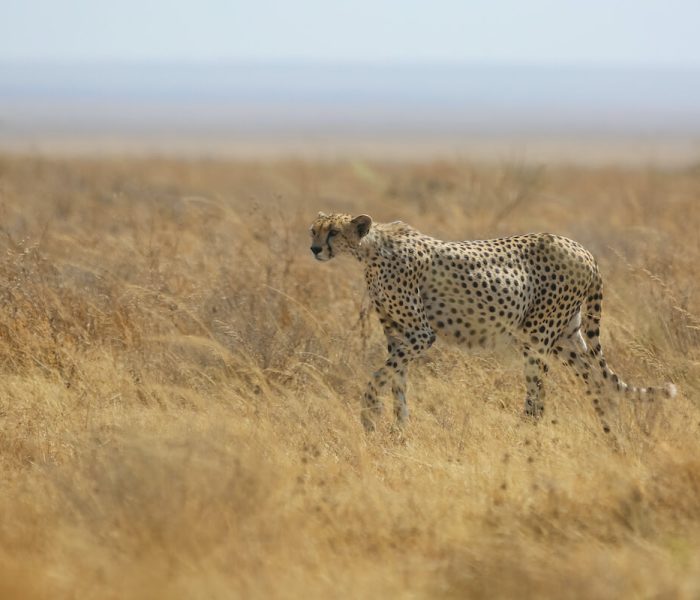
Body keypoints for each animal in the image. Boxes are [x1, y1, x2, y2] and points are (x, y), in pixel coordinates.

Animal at [308, 213, 676, 434]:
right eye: (314, 230)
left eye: (334, 232)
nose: (313, 248)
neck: (369, 250)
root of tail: (583, 250)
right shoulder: (398, 334)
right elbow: (397, 379)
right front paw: (398, 430)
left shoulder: (421, 334)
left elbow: (379, 376)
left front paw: (370, 415)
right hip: (566, 337)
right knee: (598, 382)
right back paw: (611, 437)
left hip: (537, 337)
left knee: (538, 397)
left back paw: (523, 436)